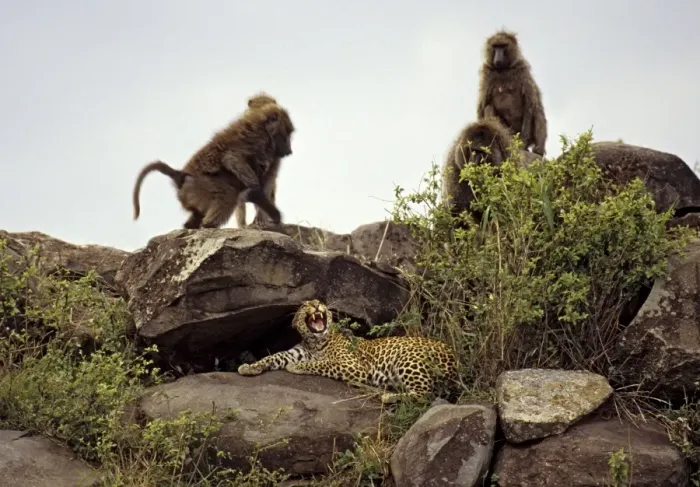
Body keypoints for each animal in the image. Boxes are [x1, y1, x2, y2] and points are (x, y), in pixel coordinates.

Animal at [237, 299, 460, 404]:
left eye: (319, 301)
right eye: (305, 305)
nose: (316, 304)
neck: (316, 342)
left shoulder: (353, 366)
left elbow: (323, 363)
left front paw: (297, 367)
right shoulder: (295, 352)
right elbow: (273, 356)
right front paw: (249, 367)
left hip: (409, 358)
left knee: (427, 394)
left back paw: (388, 396)